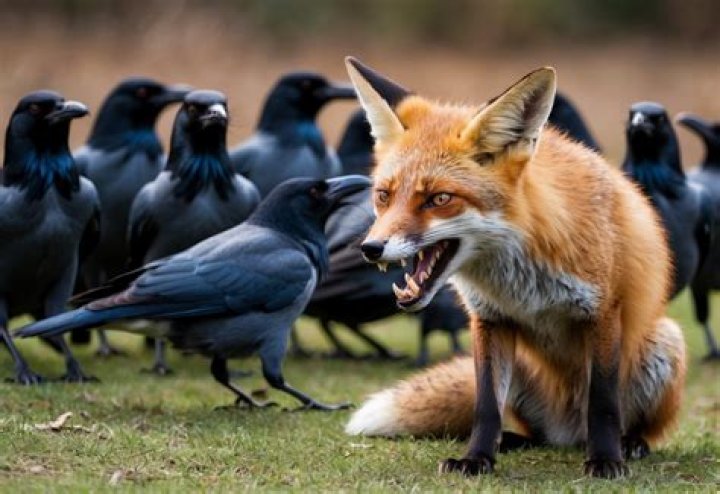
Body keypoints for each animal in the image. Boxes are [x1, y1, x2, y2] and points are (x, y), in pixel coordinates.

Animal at [342, 57, 687, 479]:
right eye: (383, 196)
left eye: (439, 199)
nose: (370, 248)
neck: (520, 279)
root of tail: (568, 434)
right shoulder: (490, 319)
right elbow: (487, 406)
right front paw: (476, 458)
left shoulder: (604, 312)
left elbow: (603, 403)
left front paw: (606, 460)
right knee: (534, 432)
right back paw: (513, 441)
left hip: (666, 341)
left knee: (629, 424)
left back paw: (629, 444)